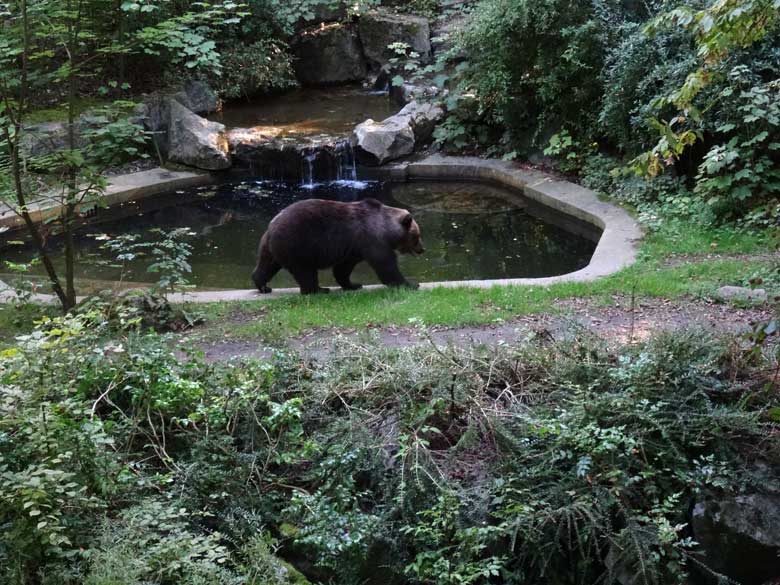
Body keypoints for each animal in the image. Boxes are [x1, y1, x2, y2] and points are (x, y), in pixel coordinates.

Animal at [251, 197, 424, 296]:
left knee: (267, 265)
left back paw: (263, 285)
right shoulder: (372, 240)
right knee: (305, 271)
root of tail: (272, 225)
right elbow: (386, 265)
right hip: (298, 244)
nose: (422, 249)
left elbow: (343, 269)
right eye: (416, 236)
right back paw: (319, 290)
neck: (386, 229)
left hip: (271, 246)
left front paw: (353, 284)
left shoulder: (353, 248)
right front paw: (411, 283)